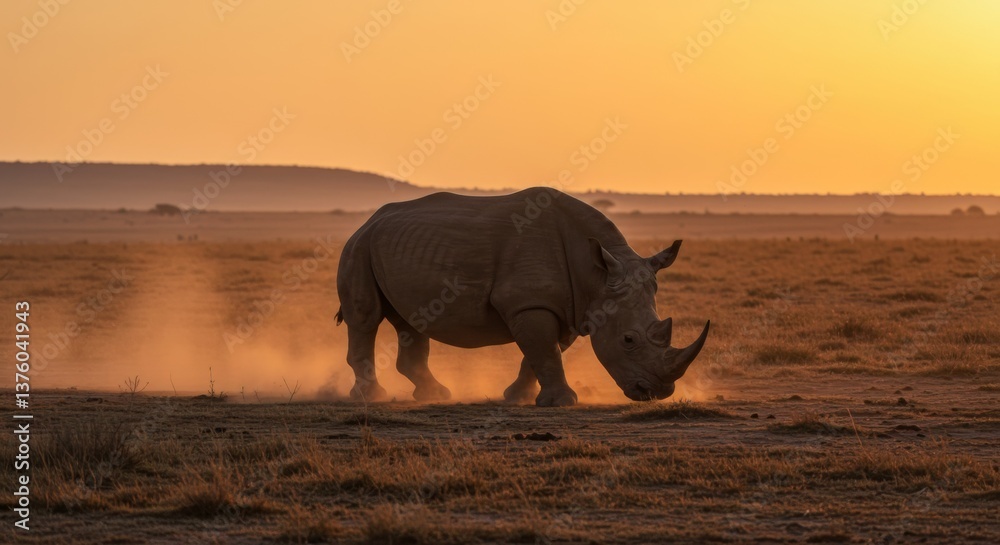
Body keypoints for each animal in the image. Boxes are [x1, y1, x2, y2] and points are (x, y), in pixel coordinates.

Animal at [335, 187, 710, 407]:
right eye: (628, 339)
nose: (657, 393)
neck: (597, 275)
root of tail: (371, 219)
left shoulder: (572, 306)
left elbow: (541, 353)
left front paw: (518, 397)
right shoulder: (530, 302)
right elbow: (545, 351)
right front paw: (563, 403)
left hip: (393, 247)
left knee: (411, 322)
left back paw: (434, 395)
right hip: (359, 246)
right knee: (365, 318)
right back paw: (371, 398)